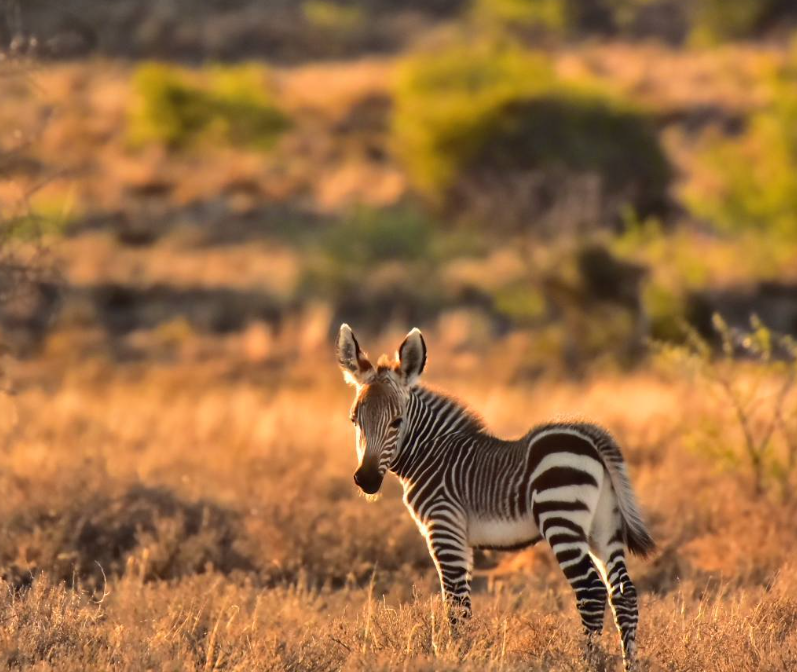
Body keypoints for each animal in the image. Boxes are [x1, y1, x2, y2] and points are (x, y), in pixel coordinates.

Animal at [336, 324, 652, 668]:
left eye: (396, 422)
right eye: (354, 420)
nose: (366, 480)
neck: (431, 453)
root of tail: (591, 439)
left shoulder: (443, 528)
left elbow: (455, 603)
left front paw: (456, 657)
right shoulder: (459, 538)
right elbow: (462, 603)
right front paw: (462, 654)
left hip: (561, 517)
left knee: (591, 591)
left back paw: (588, 663)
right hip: (604, 526)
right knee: (623, 593)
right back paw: (630, 664)